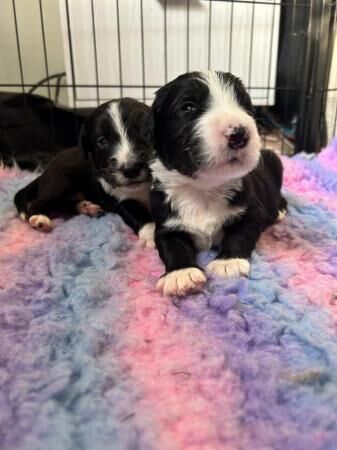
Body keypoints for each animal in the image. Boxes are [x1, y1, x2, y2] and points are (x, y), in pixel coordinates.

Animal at [13, 96, 155, 248]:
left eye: (145, 132)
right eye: (102, 141)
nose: (131, 169)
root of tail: (44, 173)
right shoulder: (119, 197)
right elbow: (136, 212)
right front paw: (151, 234)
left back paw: (86, 207)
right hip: (62, 182)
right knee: (37, 203)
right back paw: (40, 219)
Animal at [150, 70, 286, 296]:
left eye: (244, 104)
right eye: (188, 107)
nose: (239, 133)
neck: (204, 189)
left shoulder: (252, 211)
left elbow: (240, 234)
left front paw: (228, 263)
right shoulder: (166, 222)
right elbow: (172, 246)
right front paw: (181, 273)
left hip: (275, 160)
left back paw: (281, 210)